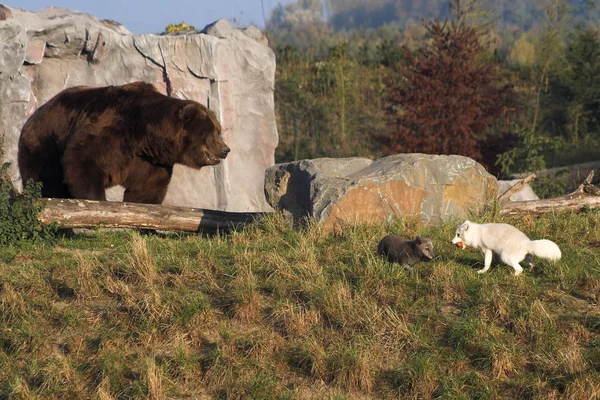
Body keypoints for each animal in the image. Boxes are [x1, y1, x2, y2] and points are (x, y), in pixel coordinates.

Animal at [18, 81, 230, 203]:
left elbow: (147, 187)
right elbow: (82, 159)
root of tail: (33, 115)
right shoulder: (112, 129)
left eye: (218, 130)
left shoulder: (149, 161)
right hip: (45, 144)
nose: (226, 149)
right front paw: (96, 201)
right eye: (213, 132)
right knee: (45, 181)